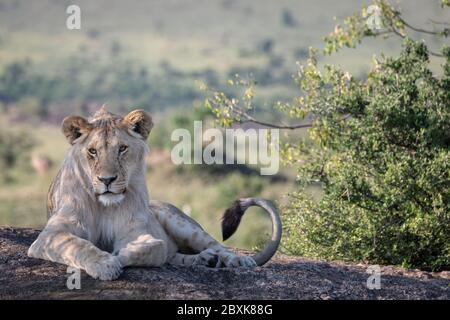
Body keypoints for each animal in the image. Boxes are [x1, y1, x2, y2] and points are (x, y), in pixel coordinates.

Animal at [27, 106, 282, 278]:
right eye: (92, 151)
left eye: (122, 149)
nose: (107, 180)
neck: (105, 205)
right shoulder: (50, 235)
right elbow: (79, 245)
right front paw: (105, 264)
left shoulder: (138, 230)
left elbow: (154, 245)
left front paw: (119, 255)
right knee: (174, 257)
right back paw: (205, 260)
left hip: (181, 223)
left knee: (217, 246)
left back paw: (235, 261)